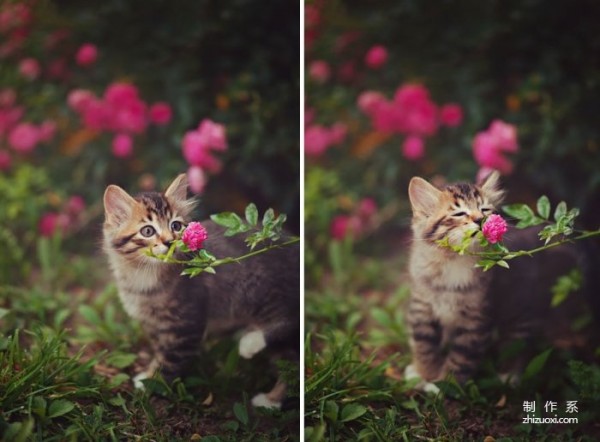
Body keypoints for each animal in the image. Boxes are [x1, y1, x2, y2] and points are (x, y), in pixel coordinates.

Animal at [104, 174, 300, 410]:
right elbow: (159, 352)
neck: (144, 277)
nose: (169, 241)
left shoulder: (185, 325)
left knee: (287, 325)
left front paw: (153, 384)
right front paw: (148, 374)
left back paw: (254, 355)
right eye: (148, 231)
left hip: (262, 291)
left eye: (176, 225)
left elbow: (170, 361)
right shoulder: (155, 325)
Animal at [406, 171, 592, 392]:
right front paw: (423, 374)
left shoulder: (477, 319)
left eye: (484, 210)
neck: (454, 261)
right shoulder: (422, 308)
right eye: (459, 214)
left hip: (519, 309)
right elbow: (424, 346)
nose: (480, 219)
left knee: (517, 342)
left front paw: (446, 385)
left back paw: (509, 374)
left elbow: (461, 357)